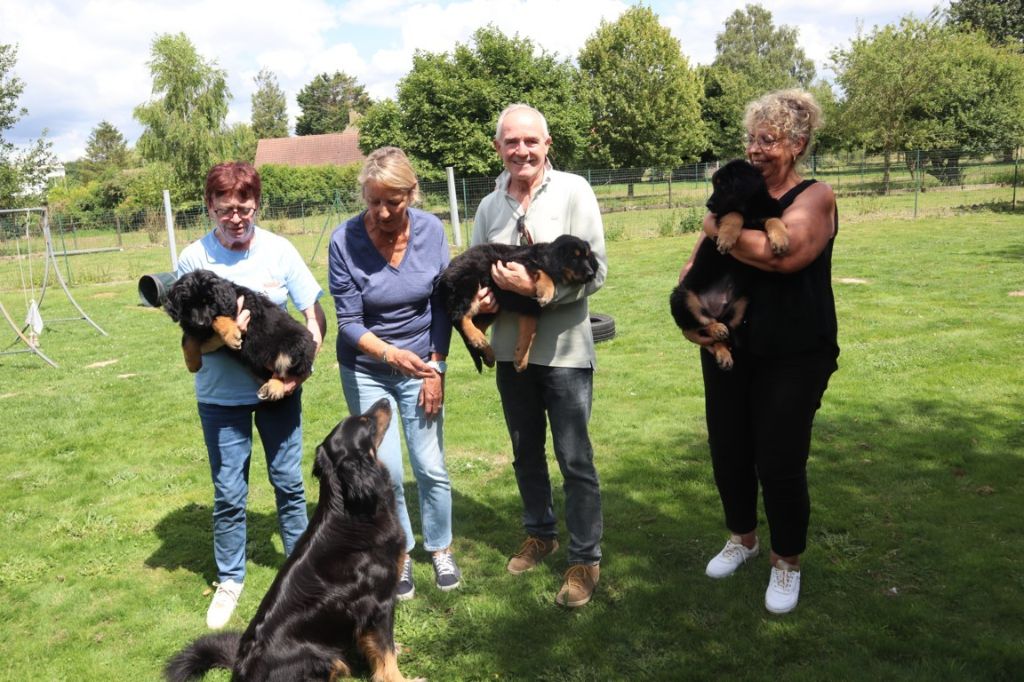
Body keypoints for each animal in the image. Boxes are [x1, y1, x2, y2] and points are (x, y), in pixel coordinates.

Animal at [163, 268, 313, 401]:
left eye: (210, 302)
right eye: (188, 304)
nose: (200, 324)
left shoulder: (244, 308)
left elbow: (218, 318)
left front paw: (230, 335)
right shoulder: (194, 327)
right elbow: (187, 338)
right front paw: (192, 362)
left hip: (295, 346)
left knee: (284, 371)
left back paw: (275, 387)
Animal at [163, 395, 419, 679]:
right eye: (365, 421)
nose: (385, 399)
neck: (353, 509)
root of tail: (242, 670)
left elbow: (380, 646)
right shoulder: (379, 602)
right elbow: (384, 652)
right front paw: (402, 678)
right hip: (324, 656)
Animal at [436, 233, 598, 372]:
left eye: (587, 257)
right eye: (574, 258)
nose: (591, 274)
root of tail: (445, 274)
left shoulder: (530, 309)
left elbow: (528, 334)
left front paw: (521, 360)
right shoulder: (517, 262)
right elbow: (543, 271)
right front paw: (547, 291)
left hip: (494, 306)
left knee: (476, 324)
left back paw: (486, 352)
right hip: (469, 285)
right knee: (459, 317)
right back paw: (477, 339)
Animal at [671, 158, 790, 368]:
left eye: (723, 185)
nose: (708, 205)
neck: (750, 209)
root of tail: (715, 311)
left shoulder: (765, 214)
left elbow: (773, 219)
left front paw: (780, 239)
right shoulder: (721, 217)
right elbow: (734, 215)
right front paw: (726, 238)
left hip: (740, 305)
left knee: (719, 333)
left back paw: (723, 350)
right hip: (682, 296)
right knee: (697, 326)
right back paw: (716, 330)